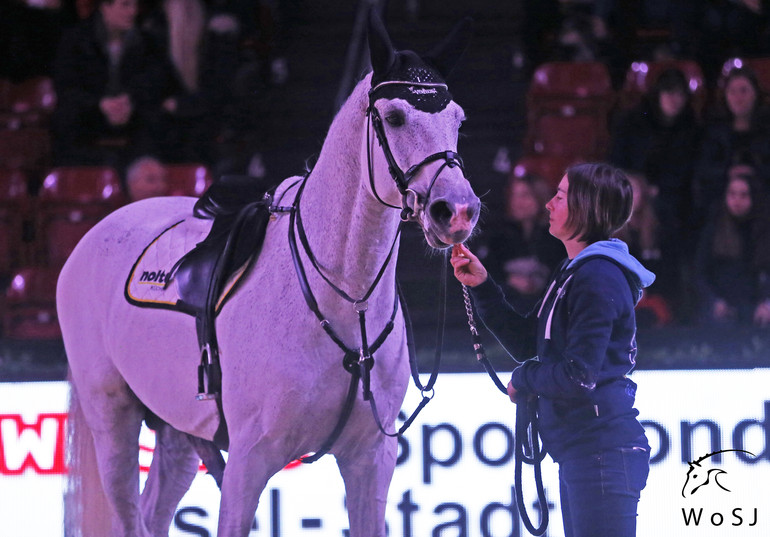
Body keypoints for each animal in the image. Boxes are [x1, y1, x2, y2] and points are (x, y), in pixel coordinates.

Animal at [60, 13, 476, 536]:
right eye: (397, 117)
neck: (345, 299)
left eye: (457, 120)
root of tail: (98, 229)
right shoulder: (248, 462)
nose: (457, 211)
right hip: (112, 421)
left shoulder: (370, 459)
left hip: (177, 431)